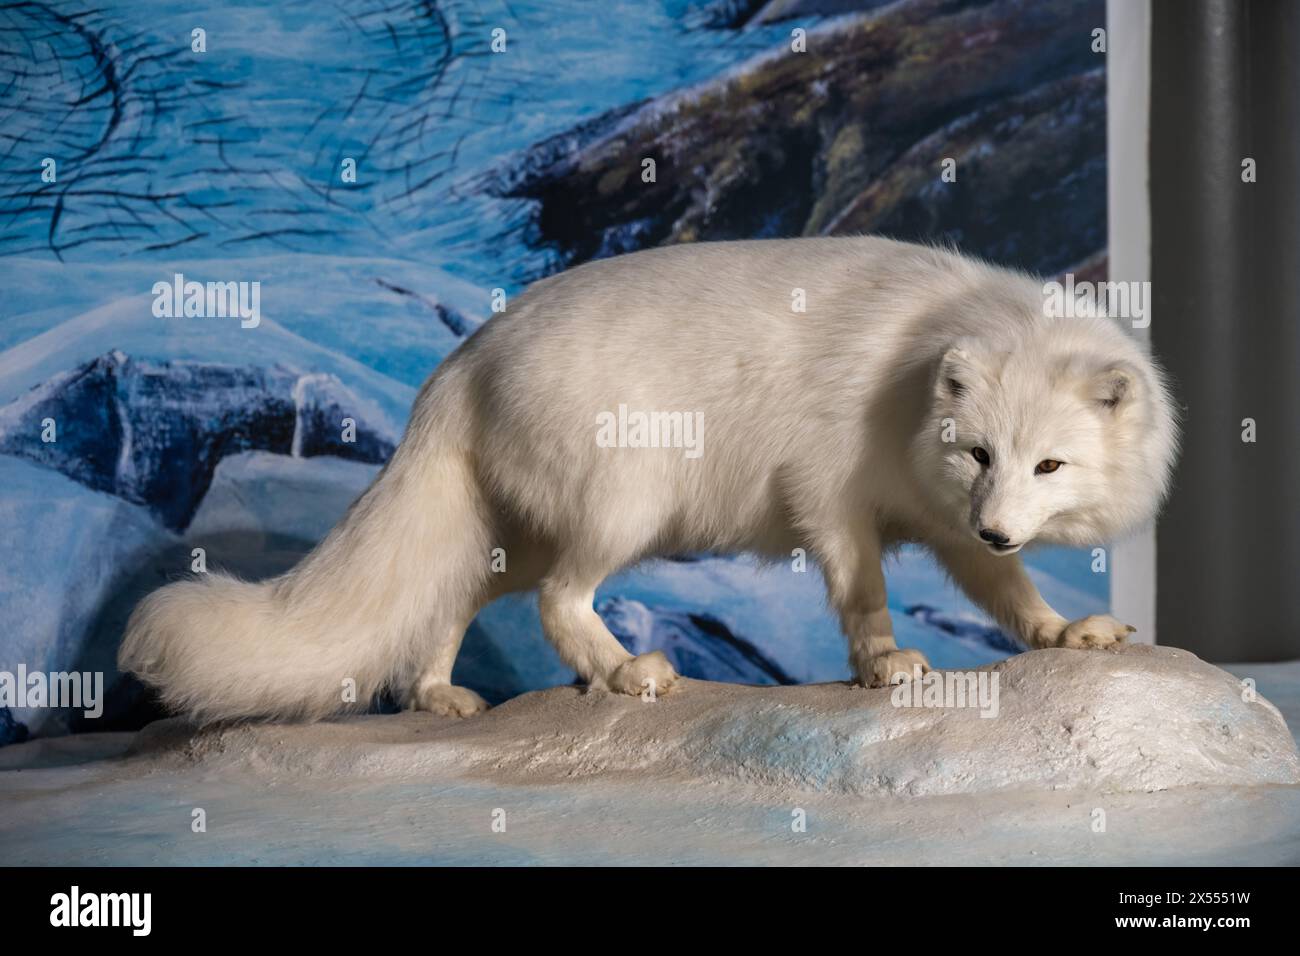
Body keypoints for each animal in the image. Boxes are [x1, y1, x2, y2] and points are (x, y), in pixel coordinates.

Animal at [120, 237, 1179, 722]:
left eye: (1047, 464)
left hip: (521, 530)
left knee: (454, 597)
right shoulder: (832, 497)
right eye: (980, 451)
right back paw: (628, 672)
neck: (914, 375)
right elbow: (865, 591)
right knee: (556, 601)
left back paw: (439, 695)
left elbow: (1009, 595)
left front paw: (1063, 633)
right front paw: (884, 664)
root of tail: (461, 360)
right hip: (623, 510)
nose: (1000, 521)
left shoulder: (951, 527)